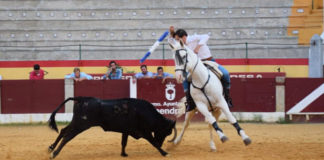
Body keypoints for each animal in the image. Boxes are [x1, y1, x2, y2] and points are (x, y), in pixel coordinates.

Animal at [47, 97, 177, 158]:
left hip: (76, 122)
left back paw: (51, 148)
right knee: (67, 137)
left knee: (63, 131)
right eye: (167, 131)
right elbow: (153, 142)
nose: (161, 143)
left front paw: (123, 154)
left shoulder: (126, 131)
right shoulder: (144, 132)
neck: (144, 112)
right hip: (81, 125)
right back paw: (54, 154)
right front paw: (165, 153)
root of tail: (82, 98)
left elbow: (124, 142)